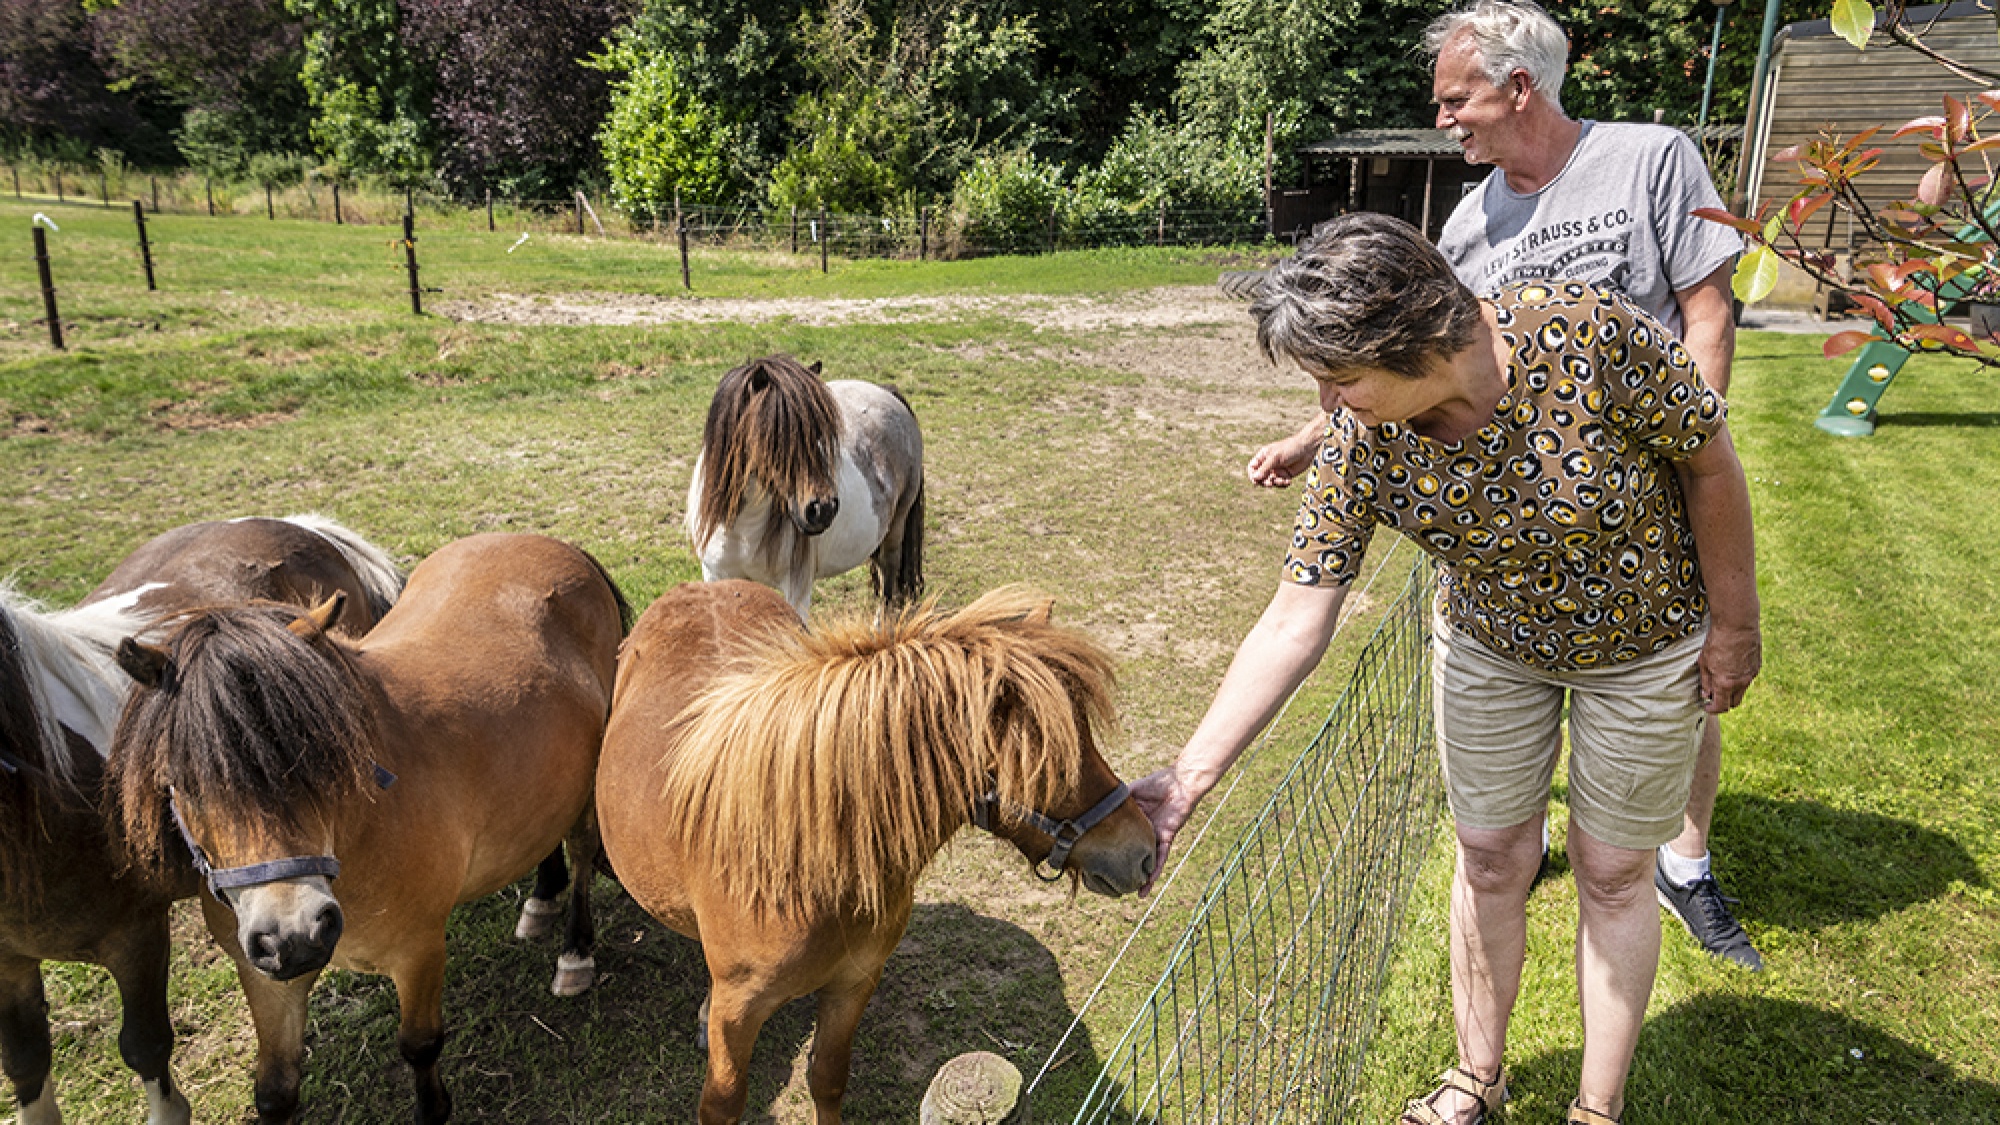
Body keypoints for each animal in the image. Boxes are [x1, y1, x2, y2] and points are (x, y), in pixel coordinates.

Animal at [101, 532, 628, 1120]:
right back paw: (541, 898)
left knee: (581, 855)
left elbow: (420, 1046)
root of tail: (557, 545)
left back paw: (575, 950)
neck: (357, 832)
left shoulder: (418, 952)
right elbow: (276, 1090)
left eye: (321, 757)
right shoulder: (266, 981)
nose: (294, 935)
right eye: (181, 784)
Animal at [592, 576, 1160, 1120]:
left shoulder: (853, 984)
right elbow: (723, 1102)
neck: (808, 865)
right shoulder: (738, 1013)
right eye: (1054, 758)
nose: (1145, 850)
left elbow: (827, 1078)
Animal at [684, 354, 924, 616]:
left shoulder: (796, 589)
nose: (823, 510)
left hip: (895, 528)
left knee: (888, 580)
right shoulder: (717, 577)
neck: (742, 527)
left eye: (822, 435)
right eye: (775, 434)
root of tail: (888, 393)